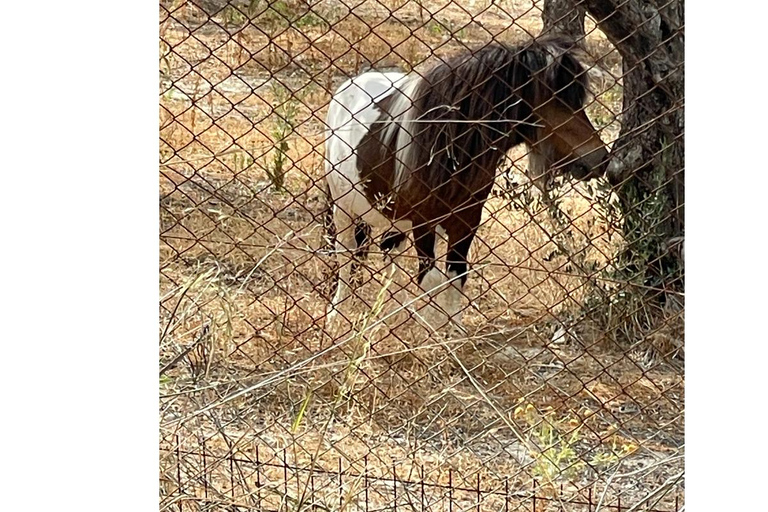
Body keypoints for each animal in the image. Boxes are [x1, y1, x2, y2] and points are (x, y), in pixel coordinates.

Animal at [322, 37, 608, 332]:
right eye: (555, 99)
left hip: (394, 217)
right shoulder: (424, 222)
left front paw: (453, 331)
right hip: (343, 210)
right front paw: (432, 332)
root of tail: (352, 83)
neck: (445, 146)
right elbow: (431, 278)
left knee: (391, 256)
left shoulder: (466, 220)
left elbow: (456, 275)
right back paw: (336, 313)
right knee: (346, 255)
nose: (600, 159)